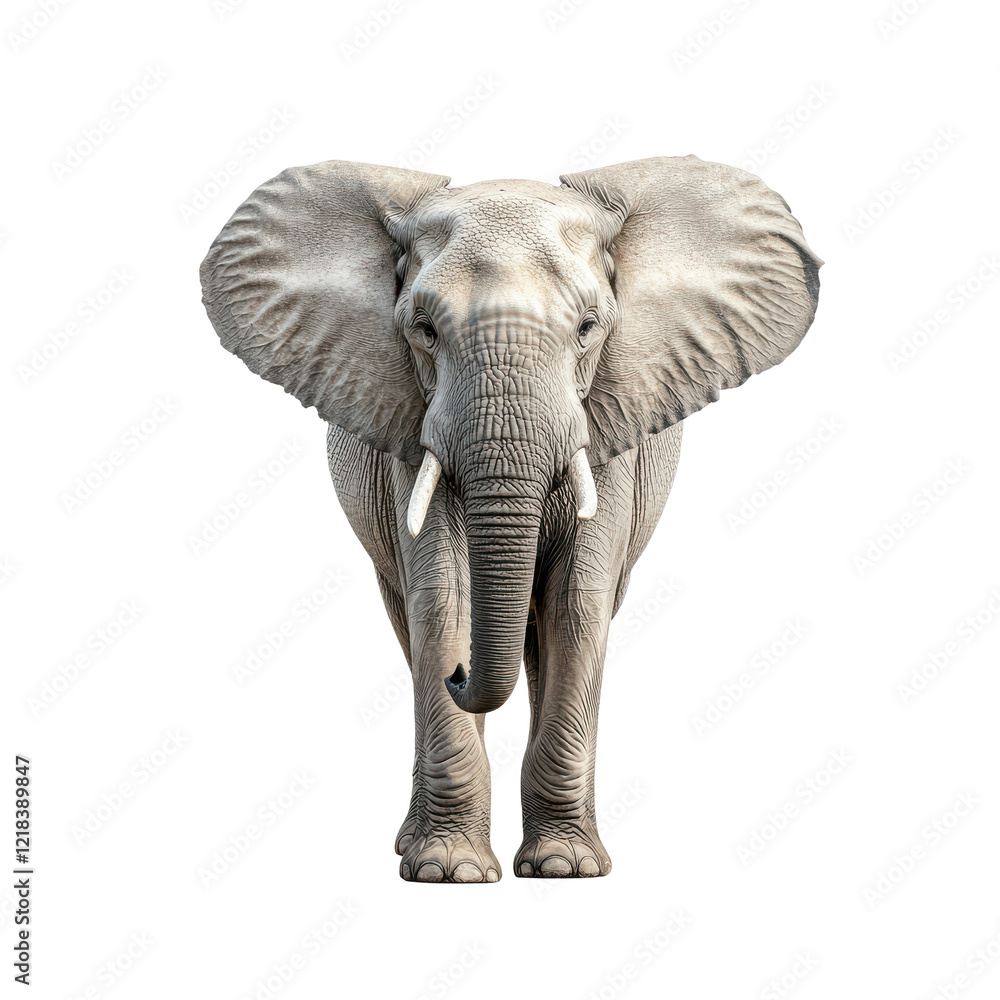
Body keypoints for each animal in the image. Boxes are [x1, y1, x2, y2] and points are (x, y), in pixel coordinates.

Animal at [200, 155, 821, 882]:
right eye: (423, 329)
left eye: (588, 327)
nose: (460, 673)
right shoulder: (410, 427)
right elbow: (443, 597)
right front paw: (448, 872)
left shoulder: (610, 425)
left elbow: (577, 603)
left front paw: (564, 868)